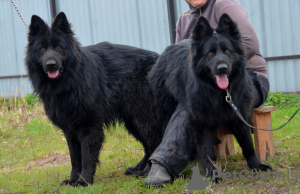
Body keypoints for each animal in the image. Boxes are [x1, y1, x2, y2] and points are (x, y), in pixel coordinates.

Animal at [25, 12, 162, 186]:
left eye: (59, 47)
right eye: (42, 49)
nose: (51, 64)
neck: (71, 80)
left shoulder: (89, 126)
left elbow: (87, 157)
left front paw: (84, 181)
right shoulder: (69, 130)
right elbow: (75, 158)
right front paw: (72, 180)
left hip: (143, 117)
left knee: (155, 141)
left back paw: (148, 172)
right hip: (132, 120)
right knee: (148, 145)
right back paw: (138, 169)